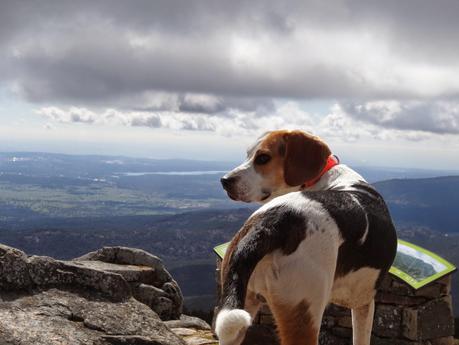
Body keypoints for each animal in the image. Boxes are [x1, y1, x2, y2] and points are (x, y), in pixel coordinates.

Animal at [216, 130, 398, 344]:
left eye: (262, 157)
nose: (225, 181)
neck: (325, 177)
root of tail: (272, 222)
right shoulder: (364, 302)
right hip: (304, 311)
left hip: (240, 305)